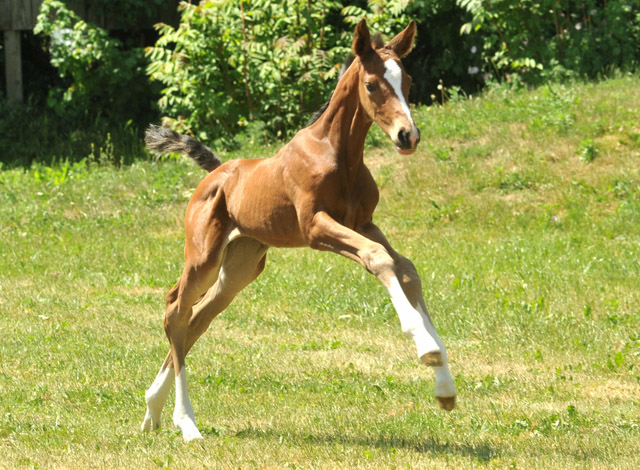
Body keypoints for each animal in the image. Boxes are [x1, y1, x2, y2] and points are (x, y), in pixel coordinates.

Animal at [142, 20, 458, 442]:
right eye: (372, 84)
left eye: (406, 80)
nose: (408, 136)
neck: (339, 155)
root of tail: (216, 171)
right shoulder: (316, 227)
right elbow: (378, 259)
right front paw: (424, 347)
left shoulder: (363, 223)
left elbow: (405, 267)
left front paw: (445, 386)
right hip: (204, 257)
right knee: (176, 310)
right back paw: (186, 422)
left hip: (240, 266)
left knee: (197, 319)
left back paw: (153, 409)